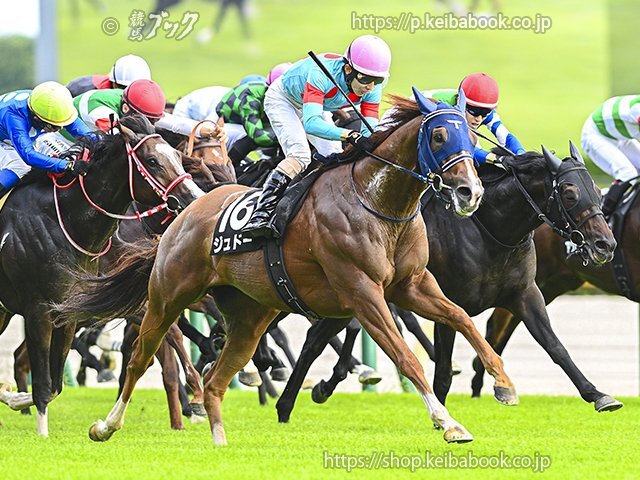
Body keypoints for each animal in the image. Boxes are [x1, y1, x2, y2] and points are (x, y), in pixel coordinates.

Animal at [0, 114, 202, 436]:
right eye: (153, 161)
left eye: (179, 157)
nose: (194, 199)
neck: (64, 222)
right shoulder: (38, 310)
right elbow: (44, 384)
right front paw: (42, 433)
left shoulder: (68, 312)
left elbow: (55, 385)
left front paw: (13, 397)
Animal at [56, 91, 520, 446]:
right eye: (439, 135)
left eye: (468, 133)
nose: (470, 192)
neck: (378, 201)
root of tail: (186, 211)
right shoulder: (362, 290)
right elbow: (405, 356)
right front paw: (449, 422)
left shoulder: (412, 285)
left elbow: (462, 319)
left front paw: (503, 384)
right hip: (169, 296)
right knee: (141, 358)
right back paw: (106, 425)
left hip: (249, 317)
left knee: (216, 378)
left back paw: (220, 440)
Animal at [275, 144, 621, 420]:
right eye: (569, 192)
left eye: (595, 187)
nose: (605, 244)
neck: (490, 232)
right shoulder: (448, 301)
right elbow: (442, 371)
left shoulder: (525, 293)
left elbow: (555, 346)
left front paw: (598, 394)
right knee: (312, 335)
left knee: (318, 337)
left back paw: (309, 393)